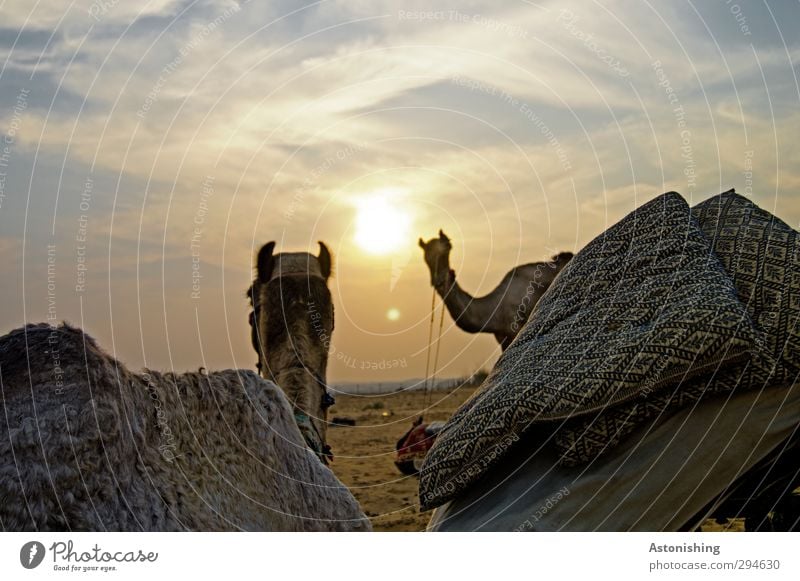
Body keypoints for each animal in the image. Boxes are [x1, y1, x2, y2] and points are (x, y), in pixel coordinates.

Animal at [422, 229, 572, 348]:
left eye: (448, 247)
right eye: (426, 257)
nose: (438, 281)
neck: (495, 312)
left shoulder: (516, 329)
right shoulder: (502, 338)